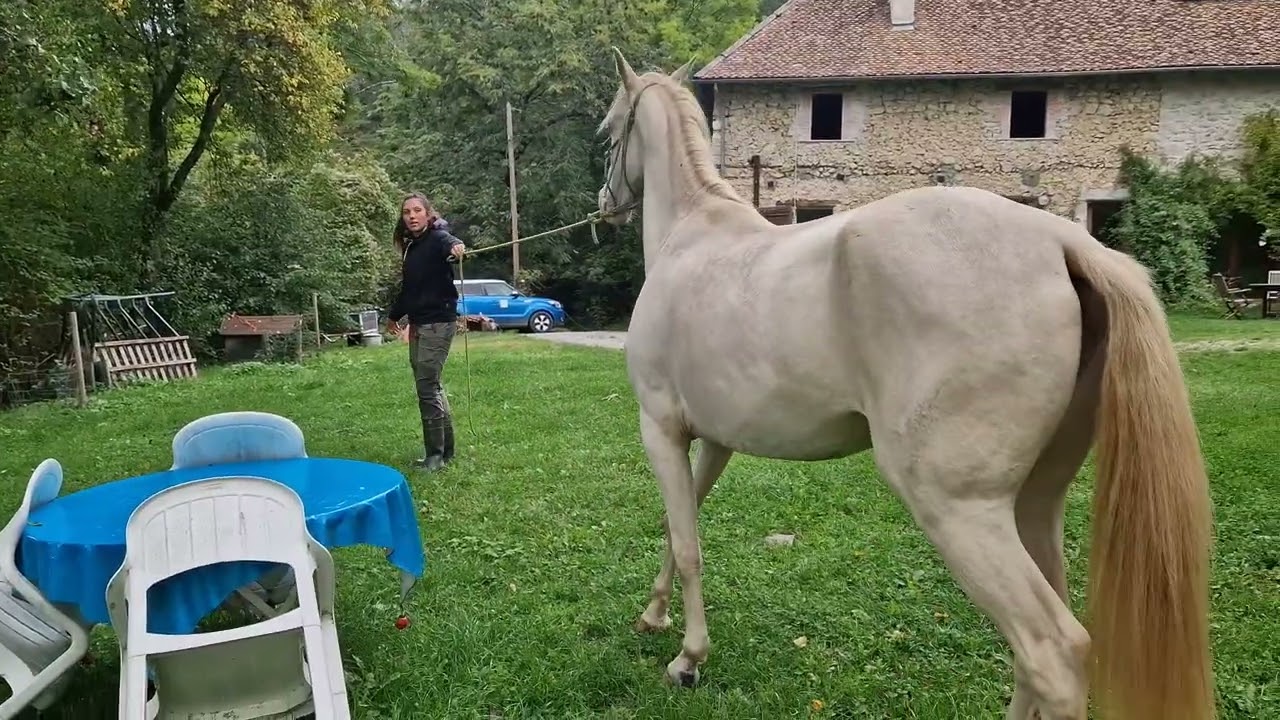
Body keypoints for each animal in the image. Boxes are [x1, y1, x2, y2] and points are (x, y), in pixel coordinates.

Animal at [595, 48, 1215, 720]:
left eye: (608, 134)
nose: (604, 203)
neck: (692, 234)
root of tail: (1064, 242)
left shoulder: (660, 429)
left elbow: (687, 544)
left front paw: (687, 660)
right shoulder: (713, 440)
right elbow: (676, 528)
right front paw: (654, 617)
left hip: (958, 508)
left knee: (1052, 651)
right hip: (1032, 503)